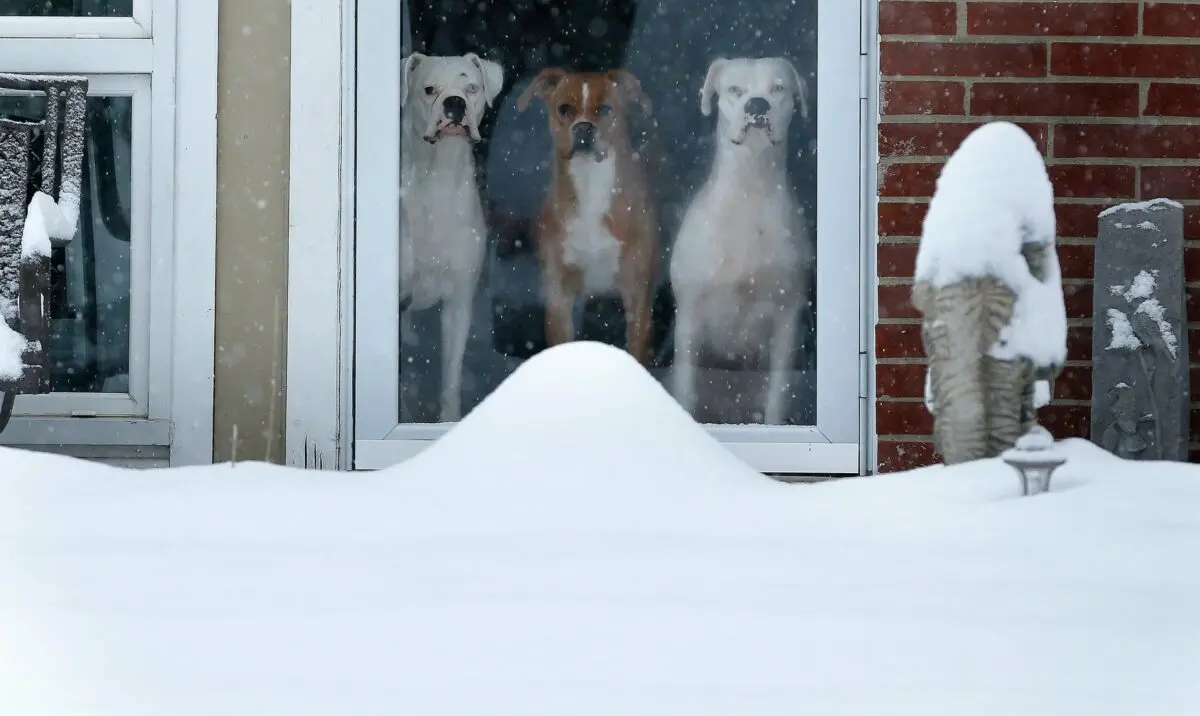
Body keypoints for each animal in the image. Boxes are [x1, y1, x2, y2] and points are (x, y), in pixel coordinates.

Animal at [398, 53, 501, 422]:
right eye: (429, 89)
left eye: (471, 88)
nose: (454, 102)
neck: (438, 175)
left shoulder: (459, 302)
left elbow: (452, 376)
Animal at [516, 68, 662, 362]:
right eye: (564, 109)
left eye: (605, 109)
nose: (583, 127)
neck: (590, 185)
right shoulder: (559, 297)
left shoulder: (637, 298)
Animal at [672, 58, 811, 424]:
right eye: (734, 90)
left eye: (778, 88)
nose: (757, 104)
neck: (751, 186)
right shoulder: (689, 315)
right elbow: (686, 391)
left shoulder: (787, 318)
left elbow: (777, 396)